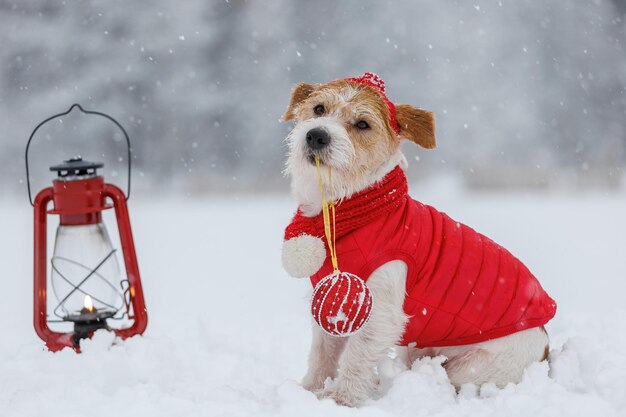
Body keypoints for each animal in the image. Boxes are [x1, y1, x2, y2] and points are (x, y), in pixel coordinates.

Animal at [280, 73, 552, 404]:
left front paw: (343, 398)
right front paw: (309, 390)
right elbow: (322, 354)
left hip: (471, 368)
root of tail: (545, 348)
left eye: (362, 124)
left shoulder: (379, 310)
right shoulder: (331, 302)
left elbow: (356, 356)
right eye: (319, 109)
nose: (316, 135)